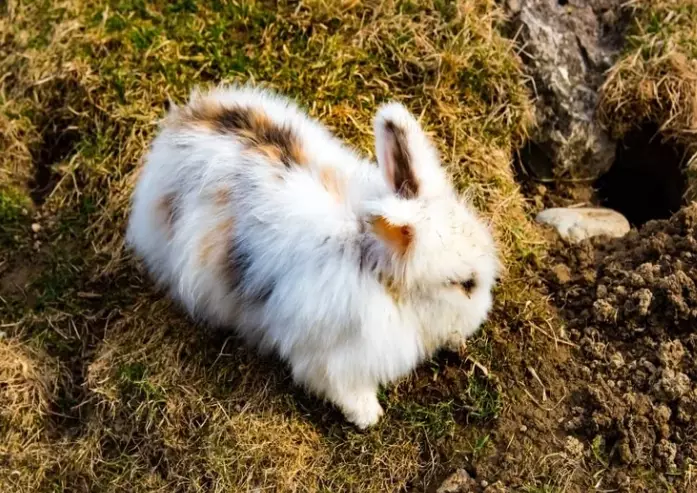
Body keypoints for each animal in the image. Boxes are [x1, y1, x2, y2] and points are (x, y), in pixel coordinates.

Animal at [126, 84, 500, 429]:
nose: (481, 316)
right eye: (464, 284)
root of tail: (177, 127)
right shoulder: (333, 360)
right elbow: (342, 387)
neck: (371, 265)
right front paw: (368, 416)